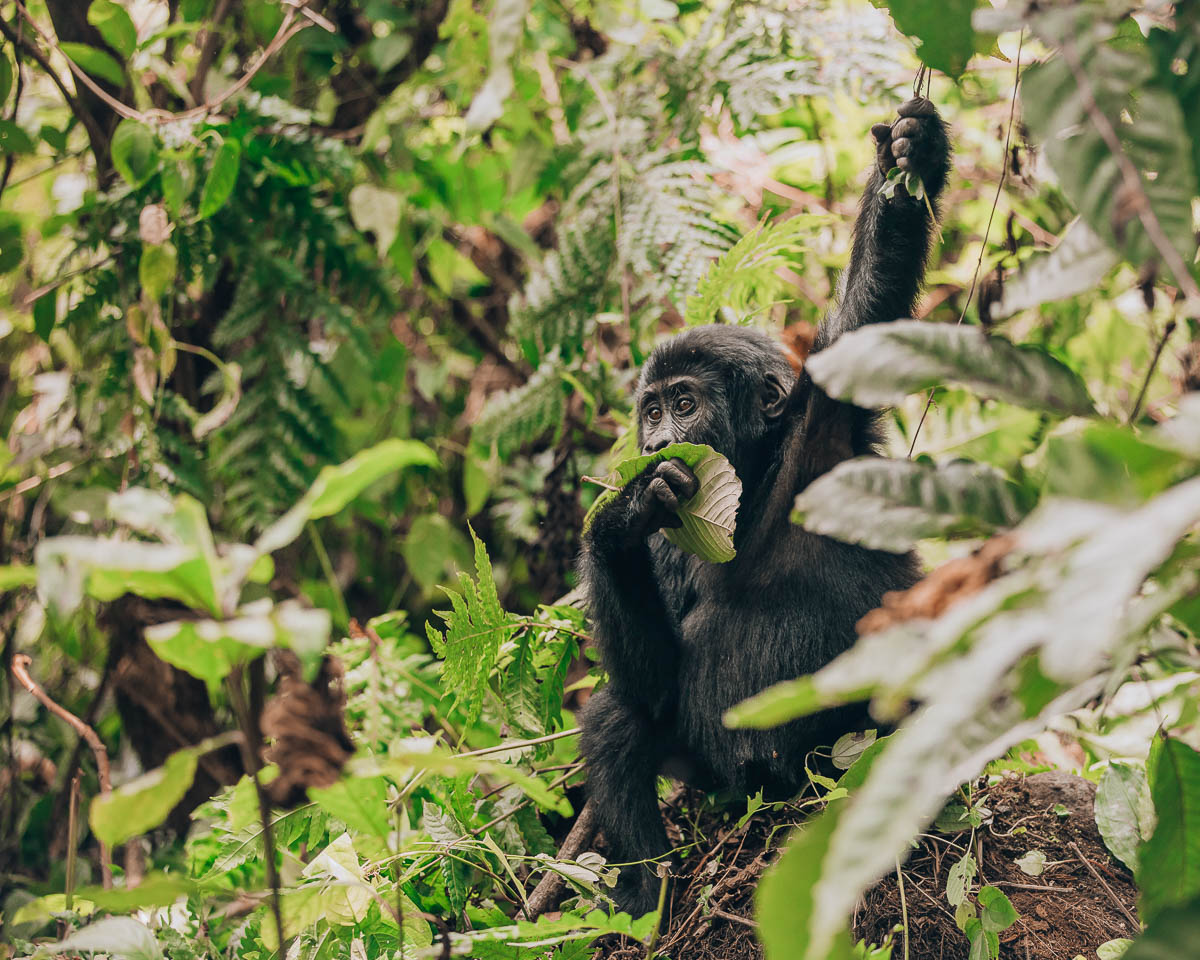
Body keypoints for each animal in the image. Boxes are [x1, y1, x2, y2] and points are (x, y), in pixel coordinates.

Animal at [576, 99, 950, 916]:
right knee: (621, 719)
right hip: (710, 784)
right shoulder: (670, 538)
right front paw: (616, 522)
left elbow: (867, 311)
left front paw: (908, 162)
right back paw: (647, 896)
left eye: (686, 404)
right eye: (652, 412)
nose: (658, 439)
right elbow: (651, 683)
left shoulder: (824, 438)